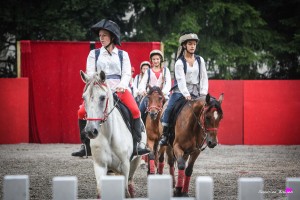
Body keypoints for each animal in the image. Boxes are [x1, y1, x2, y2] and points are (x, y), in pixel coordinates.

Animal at [79, 69, 145, 198]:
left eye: (102, 97)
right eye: (84, 98)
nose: (90, 131)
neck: (109, 135)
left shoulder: (125, 166)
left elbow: (125, 192)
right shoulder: (100, 166)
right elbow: (100, 192)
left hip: (135, 161)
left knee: (130, 182)